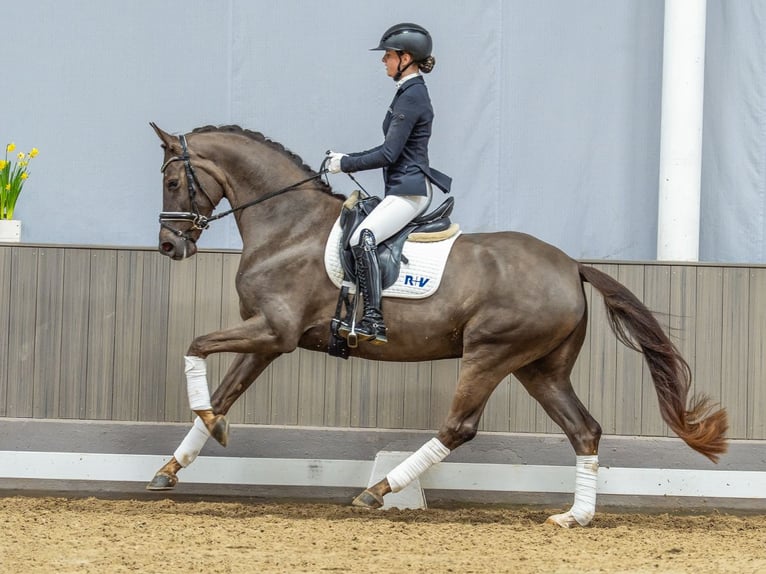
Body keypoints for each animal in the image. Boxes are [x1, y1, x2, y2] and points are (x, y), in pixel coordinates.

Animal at [146, 123, 728, 527]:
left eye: (173, 181)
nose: (169, 247)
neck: (289, 227)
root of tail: (571, 266)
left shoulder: (276, 331)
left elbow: (195, 347)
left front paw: (208, 428)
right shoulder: (267, 336)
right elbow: (224, 391)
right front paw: (173, 466)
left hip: (490, 354)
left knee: (459, 427)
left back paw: (378, 491)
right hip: (541, 369)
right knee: (583, 429)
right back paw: (574, 516)